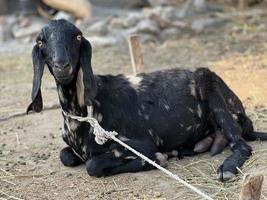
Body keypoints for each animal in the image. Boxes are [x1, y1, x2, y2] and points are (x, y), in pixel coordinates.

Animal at [27, 19, 267, 181]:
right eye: (41, 42)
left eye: (77, 37)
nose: (62, 66)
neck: (83, 117)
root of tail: (242, 111)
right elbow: (65, 156)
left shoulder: (139, 144)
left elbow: (93, 165)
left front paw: (158, 159)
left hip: (208, 84)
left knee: (242, 145)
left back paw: (227, 169)